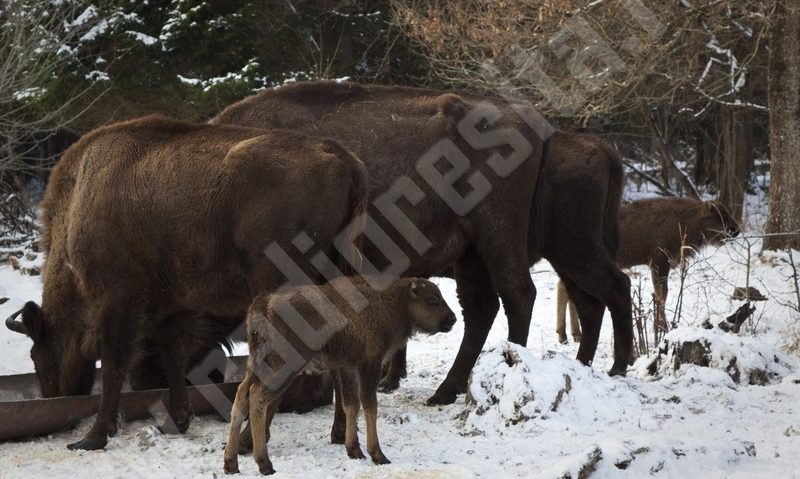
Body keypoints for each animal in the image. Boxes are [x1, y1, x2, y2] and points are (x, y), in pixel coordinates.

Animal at [4, 115, 368, 450]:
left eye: (38, 354)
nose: (53, 398)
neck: (81, 197)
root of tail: (341, 157)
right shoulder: (174, 306)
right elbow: (173, 357)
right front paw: (179, 419)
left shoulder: (118, 303)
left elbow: (114, 368)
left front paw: (92, 437)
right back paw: (339, 433)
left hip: (280, 285)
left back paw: (249, 441)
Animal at [222, 278, 456, 476]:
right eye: (432, 300)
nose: (453, 319)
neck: (389, 305)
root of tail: (264, 303)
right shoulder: (369, 366)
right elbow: (369, 406)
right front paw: (378, 454)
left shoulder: (347, 369)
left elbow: (350, 405)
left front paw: (354, 451)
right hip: (283, 367)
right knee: (258, 397)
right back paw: (265, 464)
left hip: (256, 366)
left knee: (241, 394)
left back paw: (231, 463)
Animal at [556, 197, 736, 344]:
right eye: (720, 216)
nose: (735, 230)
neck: (684, 218)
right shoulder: (659, 264)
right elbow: (661, 294)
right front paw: (662, 327)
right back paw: (566, 335)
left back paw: (573, 335)